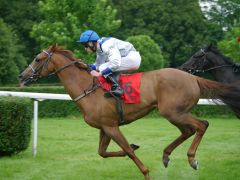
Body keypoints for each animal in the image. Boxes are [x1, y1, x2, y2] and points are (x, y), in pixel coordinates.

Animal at [19, 44, 240, 180]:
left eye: (38, 59)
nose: (22, 76)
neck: (87, 88)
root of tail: (193, 77)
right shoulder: (105, 127)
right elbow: (103, 152)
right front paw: (135, 146)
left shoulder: (111, 126)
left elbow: (127, 151)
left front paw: (146, 173)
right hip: (174, 113)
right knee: (188, 131)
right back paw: (166, 155)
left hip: (173, 112)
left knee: (202, 125)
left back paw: (192, 159)